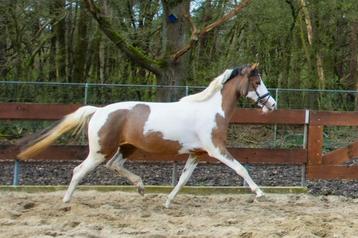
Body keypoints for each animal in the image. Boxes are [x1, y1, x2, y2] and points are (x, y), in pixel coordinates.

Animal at [18, 64, 276, 207]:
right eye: (257, 81)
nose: (272, 104)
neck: (212, 110)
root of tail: (98, 111)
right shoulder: (216, 149)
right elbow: (241, 168)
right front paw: (260, 193)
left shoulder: (197, 153)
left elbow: (183, 179)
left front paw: (168, 202)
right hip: (100, 151)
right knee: (79, 170)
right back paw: (66, 201)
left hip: (126, 147)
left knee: (114, 165)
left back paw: (141, 187)